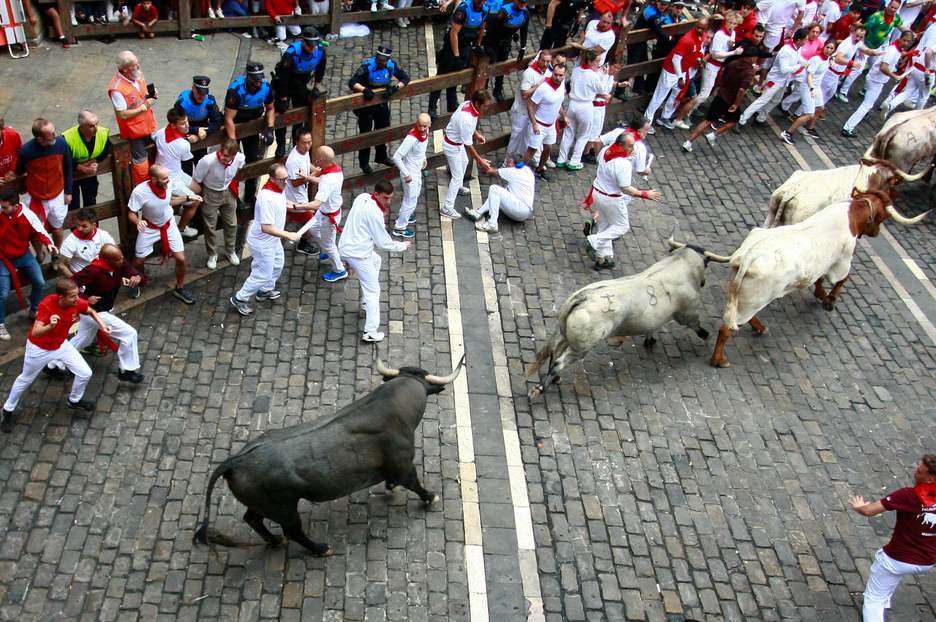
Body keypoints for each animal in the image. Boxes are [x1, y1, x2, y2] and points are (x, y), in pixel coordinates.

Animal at [194, 358, 464, 560]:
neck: (390, 405)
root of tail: (234, 462)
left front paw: (392, 487)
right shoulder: (403, 465)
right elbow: (414, 484)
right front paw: (430, 497)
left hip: (264, 504)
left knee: (253, 519)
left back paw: (275, 541)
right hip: (283, 507)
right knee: (293, 531)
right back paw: (320, 548)